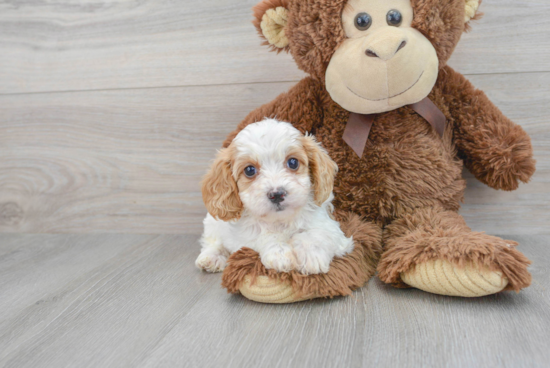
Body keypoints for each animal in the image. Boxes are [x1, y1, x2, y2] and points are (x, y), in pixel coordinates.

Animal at [196, 119, 356, 274]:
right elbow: (264, 236)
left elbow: (315, 234)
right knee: (213, 241)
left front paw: (311, 255)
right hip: (213, 223)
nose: (277, 194)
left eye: (293, 162)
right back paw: (211, 257)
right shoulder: (243, 239)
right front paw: (280, 254)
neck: (280, 220)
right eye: (249, 170)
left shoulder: (332, 229)